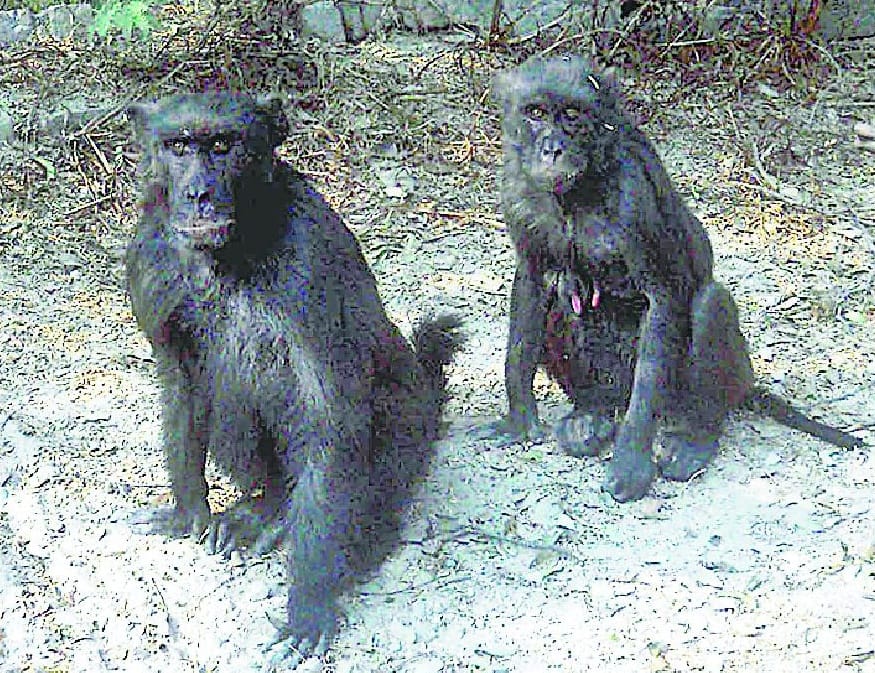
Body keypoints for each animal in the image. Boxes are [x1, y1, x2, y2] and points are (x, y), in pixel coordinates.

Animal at [125, 93, 463, 668]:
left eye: (223, 145)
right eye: (179, 145)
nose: (199, 193)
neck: (228, 256)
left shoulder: (311, 261)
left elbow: (331, 415)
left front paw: (308, 601)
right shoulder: (152, 256)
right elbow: (183, 383)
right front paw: (189, 511)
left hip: (407, 427)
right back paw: (267, 507)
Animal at [490, 56, 864, 503]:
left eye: (572, 115)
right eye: (535, 113)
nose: (552, 148)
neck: (579, 192)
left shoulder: (635, 197)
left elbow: (663, 299)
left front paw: (631, 460)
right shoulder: (518, 194)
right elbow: (532, 286)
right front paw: (519, 418)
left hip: (696, 392)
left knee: (708, 306)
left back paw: (694, 439)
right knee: (563, 302)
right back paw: (592, 414)